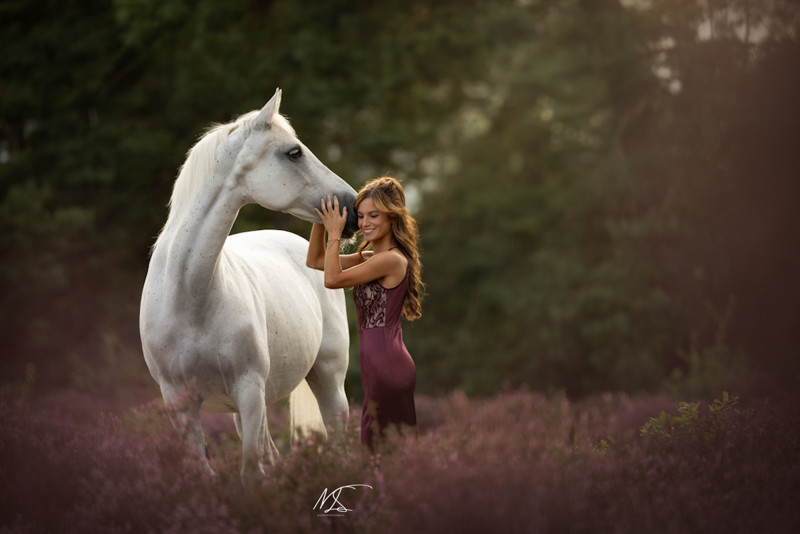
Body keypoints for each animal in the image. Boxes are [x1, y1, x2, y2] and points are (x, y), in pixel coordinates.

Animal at [139, 89, 358, 485]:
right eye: (293, 152)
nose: (352, 208)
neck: (189, 297)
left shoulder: (249, 392)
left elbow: (251, 474)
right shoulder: (179, 404)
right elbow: (208, 474)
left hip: (328, 380)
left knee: (337, 438)